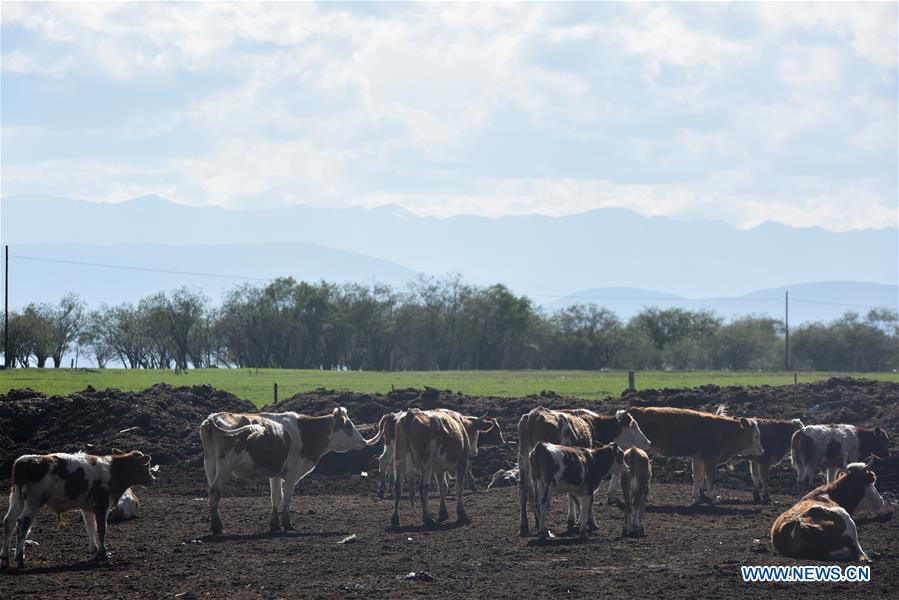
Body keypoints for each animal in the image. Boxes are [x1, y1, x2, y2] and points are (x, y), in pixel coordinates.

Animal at [1, 448, 158, 568]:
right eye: (146, 466)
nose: (153, 480)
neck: (113, 471)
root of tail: (21, 461)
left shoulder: (88, 507)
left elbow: (91, 528)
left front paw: (94, 550)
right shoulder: (102, 506)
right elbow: (102, 530)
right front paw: (103, 553)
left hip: (16, 498)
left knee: (9, 521)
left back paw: (5, 558)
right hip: (33, 501)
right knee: (23, 523)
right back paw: (19, 558)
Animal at [200, 408, 372, 536]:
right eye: (348, 426)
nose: (364, 442)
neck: (306, 433)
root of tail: (213, 417)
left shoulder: (276, 475)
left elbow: (276, 497)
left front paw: (275, 525)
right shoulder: (291, 474)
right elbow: (287, 498)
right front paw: (288, 525)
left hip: (210, 464)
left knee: (212, 492)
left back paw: (214, 525)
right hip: (225, 465)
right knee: (215, 491)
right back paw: (218, 527)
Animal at [516, 408, 652, 536]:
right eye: (633, 425)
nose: (648, 442)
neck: (594, 426)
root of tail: (534, 415)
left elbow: (571, 494)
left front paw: (573, 519)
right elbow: (586, 498)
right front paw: (589, 522)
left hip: (524, 462)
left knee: (524, 492)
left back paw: (526, 526)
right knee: (539, 499)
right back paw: (543, 527)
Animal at [624, 408, 768, 506]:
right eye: (756, 436)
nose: (762, 451)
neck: (723, 432)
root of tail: (635, 409)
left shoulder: (699, 458)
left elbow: (698, 477)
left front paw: (697, 497)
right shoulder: (711, 458)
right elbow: (710, 478)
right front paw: (714, 497)